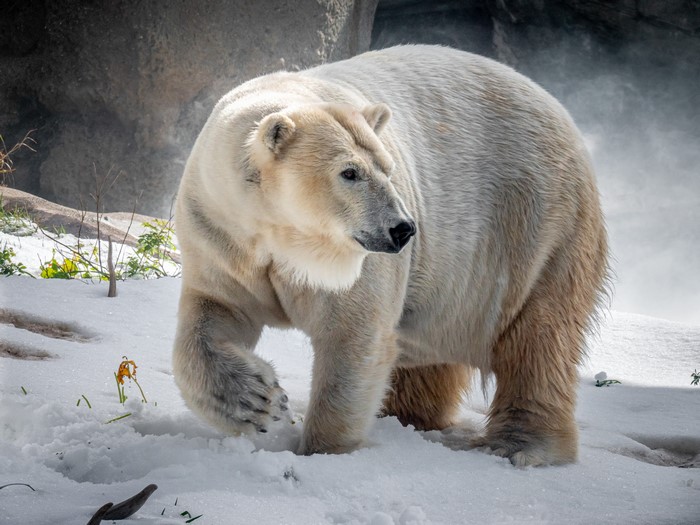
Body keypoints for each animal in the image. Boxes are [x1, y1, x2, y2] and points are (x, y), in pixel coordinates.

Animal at [172, 45, 608, 466]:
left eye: (387, 167)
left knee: (539, 336)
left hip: (533, 227)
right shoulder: (221, 235)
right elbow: (216, 314)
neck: (284, 240)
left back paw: (521, 446)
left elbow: (353, 338)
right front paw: (256, 401)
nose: (403, 228)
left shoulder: (356, 266)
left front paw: (324, 452)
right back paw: (407, 414)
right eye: (349, 172)